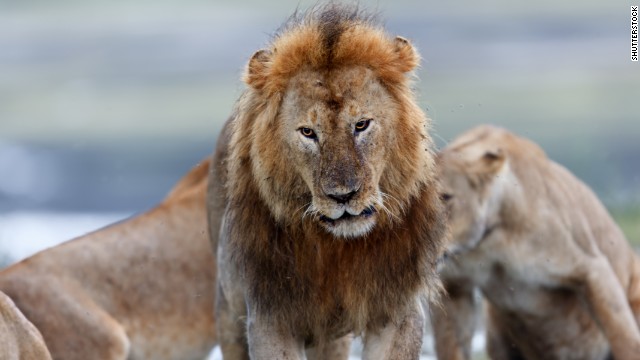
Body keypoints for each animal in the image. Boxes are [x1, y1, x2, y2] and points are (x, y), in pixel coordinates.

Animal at [208, 3, 448, 360]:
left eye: (361, 124)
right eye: (308, 132)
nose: (343, 195)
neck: (338, 251)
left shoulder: (398, 311)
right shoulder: (269, 317)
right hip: (229, 310)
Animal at [432, 124, 640, 360]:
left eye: (445, 197)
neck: (489, 240)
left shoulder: (591, 267)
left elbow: (625, 340)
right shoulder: (455, 286)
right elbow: (451, 347)